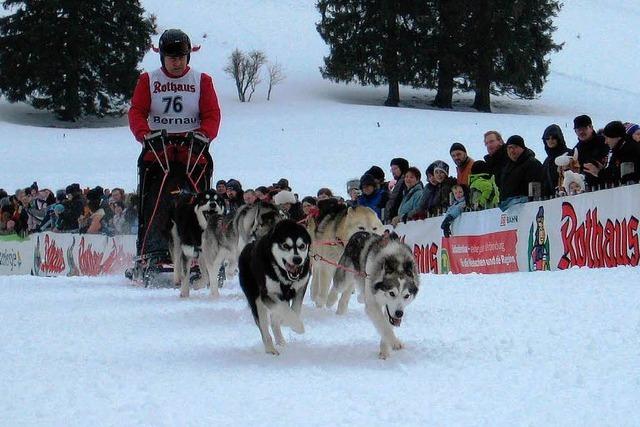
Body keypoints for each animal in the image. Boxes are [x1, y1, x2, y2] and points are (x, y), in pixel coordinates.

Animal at [239, 219, 312, 356]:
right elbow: (285, 310)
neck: (283, 274)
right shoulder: (268, 295)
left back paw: (280, 341)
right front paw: (297, 325)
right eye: (285, 245)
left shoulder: (301, 287)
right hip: (257, 301)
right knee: (264, 327)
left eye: (302, 246)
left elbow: (295, 309)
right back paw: (270, 348)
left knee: (274, 320)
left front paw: (292, 324)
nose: (297, 259)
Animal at [330, 232, 420, 360]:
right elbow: (384, 325)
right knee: (338, 285)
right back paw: (330, 300)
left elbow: (387, 324)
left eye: (406, 296)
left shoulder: (390, 311)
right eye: (392, 293)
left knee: (350, 291)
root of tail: (358, 233)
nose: (399, 313)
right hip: (345, 276)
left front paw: (384, 350)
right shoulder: (373, 305)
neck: (397, 260)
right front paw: (395, 342)